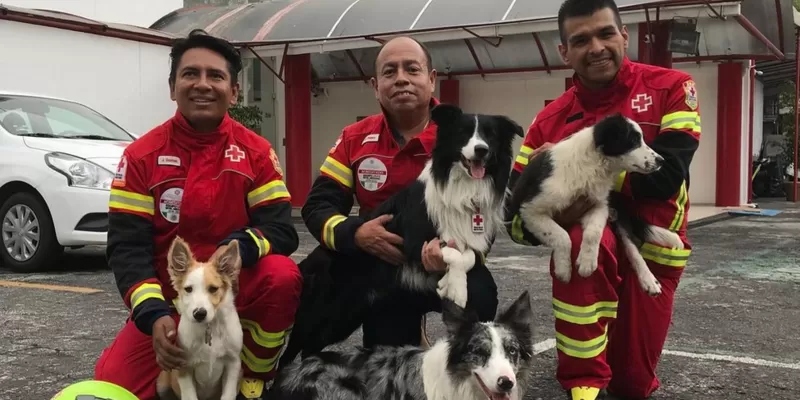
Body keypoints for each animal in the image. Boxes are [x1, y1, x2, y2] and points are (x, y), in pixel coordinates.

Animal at [282, 103, 524, 362]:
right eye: (463, 133)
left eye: (490, 135)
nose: (481, 150)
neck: (463, 186)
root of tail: (306, 262)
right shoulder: (415, 240)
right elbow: (452, 253)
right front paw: (457, 288)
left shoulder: (475, 237)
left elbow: (467, 255)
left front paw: (448, 282)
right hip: (317, 315)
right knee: (289, 353)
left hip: (342, 317)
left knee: (309, 348)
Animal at [506, 112, 680, 294]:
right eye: (633, 141)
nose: (662, 161)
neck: (593, 166)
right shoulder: (531, 210)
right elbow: (562, 236)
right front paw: (564, 269)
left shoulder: (598, 205)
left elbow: (593, 233)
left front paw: (587, 263)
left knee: (633, 249)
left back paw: (649, 280)